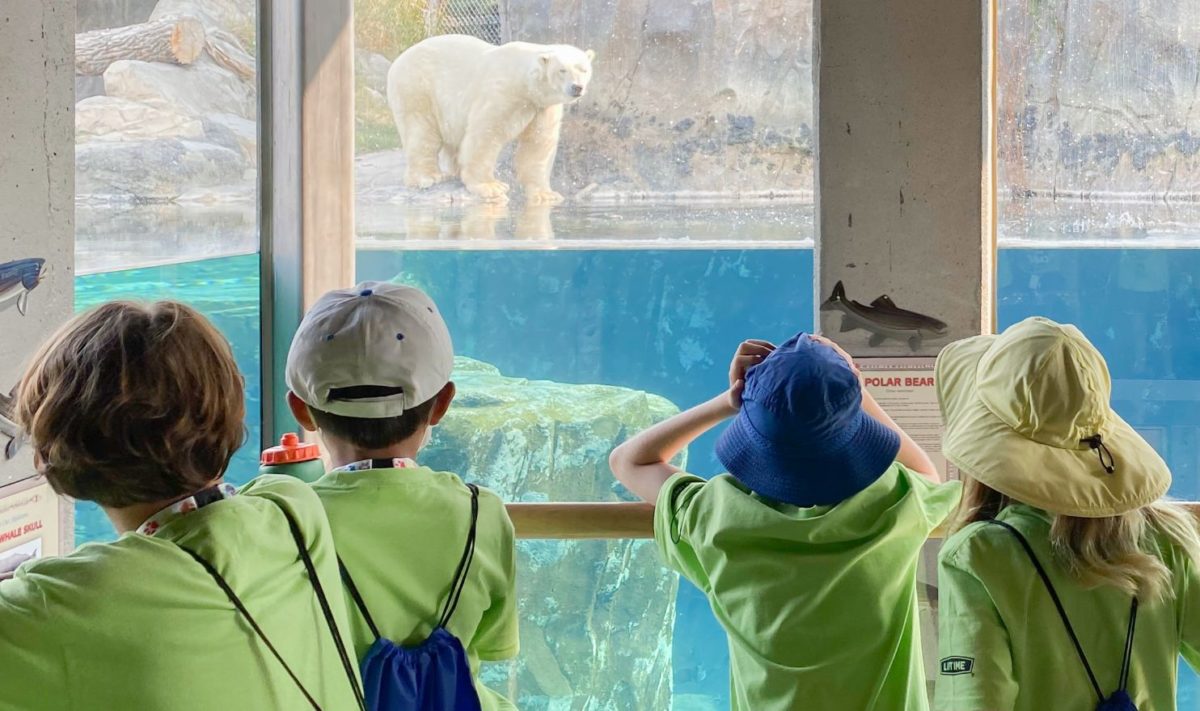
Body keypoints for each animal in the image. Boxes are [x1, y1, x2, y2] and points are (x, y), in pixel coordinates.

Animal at [386, 34, 592, 204]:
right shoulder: (502, 93)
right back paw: (427, 177)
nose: (577, 87)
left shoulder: (541, 107)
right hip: (417, 87)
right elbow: (485, 134)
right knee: (421, 131)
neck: (524, 83)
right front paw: (492, 187)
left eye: (584, 69)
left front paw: (545, 194)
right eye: (562, 70)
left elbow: (538, 144)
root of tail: (397, 62)